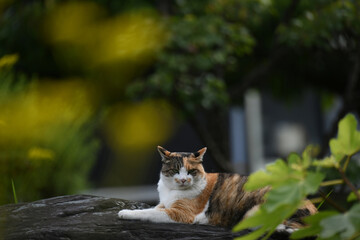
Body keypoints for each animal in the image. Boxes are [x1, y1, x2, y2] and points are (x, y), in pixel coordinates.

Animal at [117, 145, 316, 232]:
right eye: (175, 170)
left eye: (191, 171)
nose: (183, 180)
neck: (171, 190)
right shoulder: (164, 204)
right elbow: (153, 207)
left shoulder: (181, 213)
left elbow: (150, 213)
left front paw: (126, 213)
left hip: (254, 212)